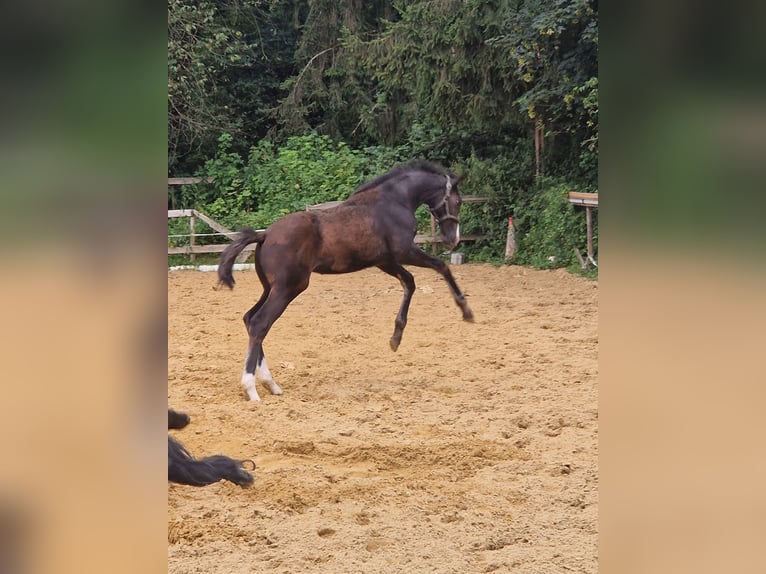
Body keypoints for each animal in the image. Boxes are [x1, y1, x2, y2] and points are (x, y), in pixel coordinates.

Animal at [218, 160, 474, 402]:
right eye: (458, 200)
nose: (453, 239)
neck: (394, 202)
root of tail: (265, 234)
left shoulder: (385, 260)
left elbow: (409, 282)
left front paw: (396, 338)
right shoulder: (404, 252)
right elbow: (441, 266)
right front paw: (466, 311)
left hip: (270, 288)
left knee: (249, 318)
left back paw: (271, 384)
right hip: (288, 288)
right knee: (260, 323)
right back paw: (251, 389)